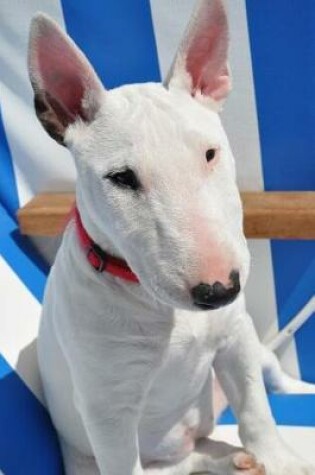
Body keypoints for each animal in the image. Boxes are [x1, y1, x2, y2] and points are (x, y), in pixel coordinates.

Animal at [27, 0, 315, 475]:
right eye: (122, 178)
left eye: (210, 154)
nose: (219, 290)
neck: (162, 308)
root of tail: (193, 437)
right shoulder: (108, 412)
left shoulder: (236, 339)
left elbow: (256, 409)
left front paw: (281, 460)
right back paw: (232, 462)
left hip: (255, 348)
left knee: (273, 375)